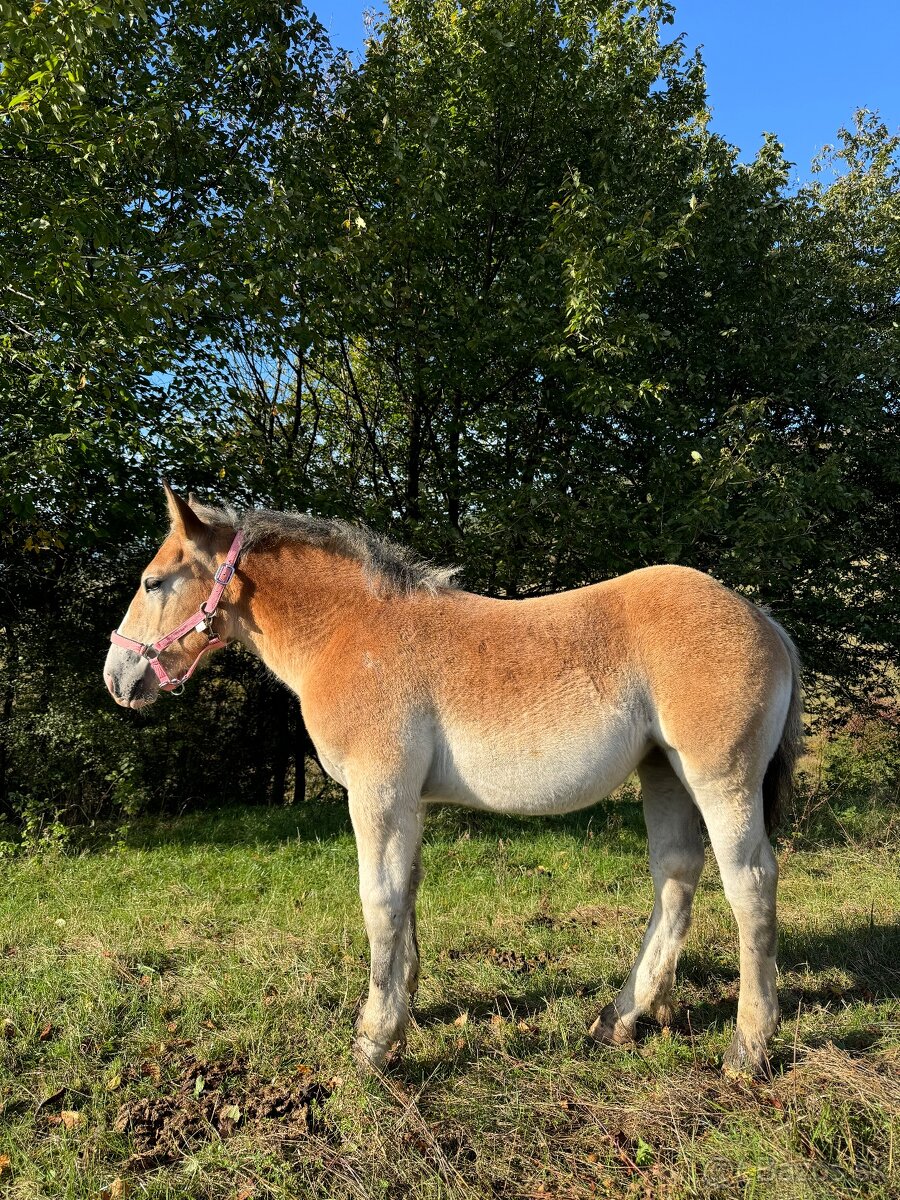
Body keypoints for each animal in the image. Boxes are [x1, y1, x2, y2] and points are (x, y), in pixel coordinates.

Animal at [103, 487, 801, 1080]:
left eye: (153, 582)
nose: (117, 677)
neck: (348, 632)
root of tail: (764, 619)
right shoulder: (407, 803)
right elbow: (406, 894)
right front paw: (405, 1011)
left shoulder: (377, 795)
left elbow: (380, 901)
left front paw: (374, 1042)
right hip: (663, 774)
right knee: (676, 876)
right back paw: (622, 1018)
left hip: (721, 782)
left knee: (749, 885)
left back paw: (749, 1046)